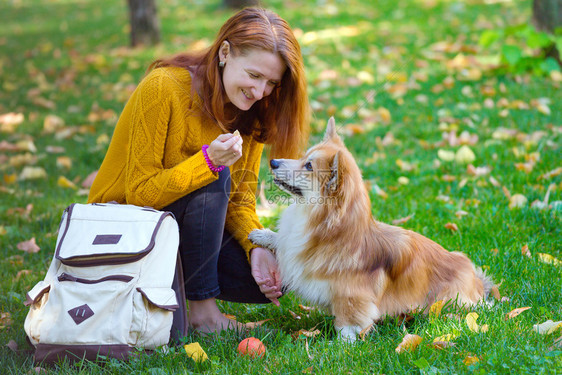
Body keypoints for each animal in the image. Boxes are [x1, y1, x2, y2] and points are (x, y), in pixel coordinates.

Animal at [249, 119, 490, 342]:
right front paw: (262, 235)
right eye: (303, 157)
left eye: (308, 166)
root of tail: (476, 282)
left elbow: (348, 324)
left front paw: (341, 347)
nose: (273, 162)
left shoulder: (351, 297)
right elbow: (283, 240)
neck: (328, 229)